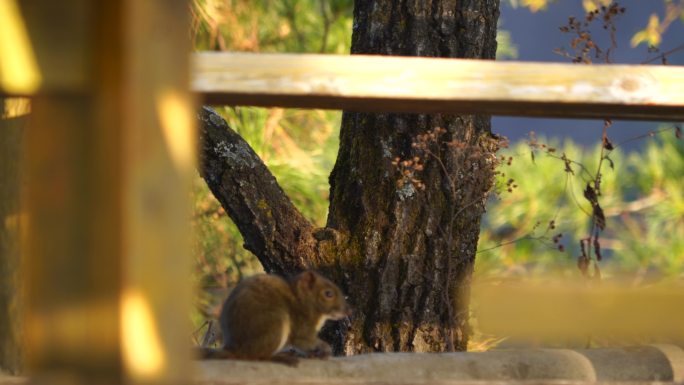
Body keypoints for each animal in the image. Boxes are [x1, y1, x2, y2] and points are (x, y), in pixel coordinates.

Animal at [195, 268, 350, 364]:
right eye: (328, 294)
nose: (348, 311)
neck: (301, 299)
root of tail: (236, 348)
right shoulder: (302, 328)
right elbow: (304, 342)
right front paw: (324, 349)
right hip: (275, 325)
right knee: (257, 356)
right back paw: (281, 357)